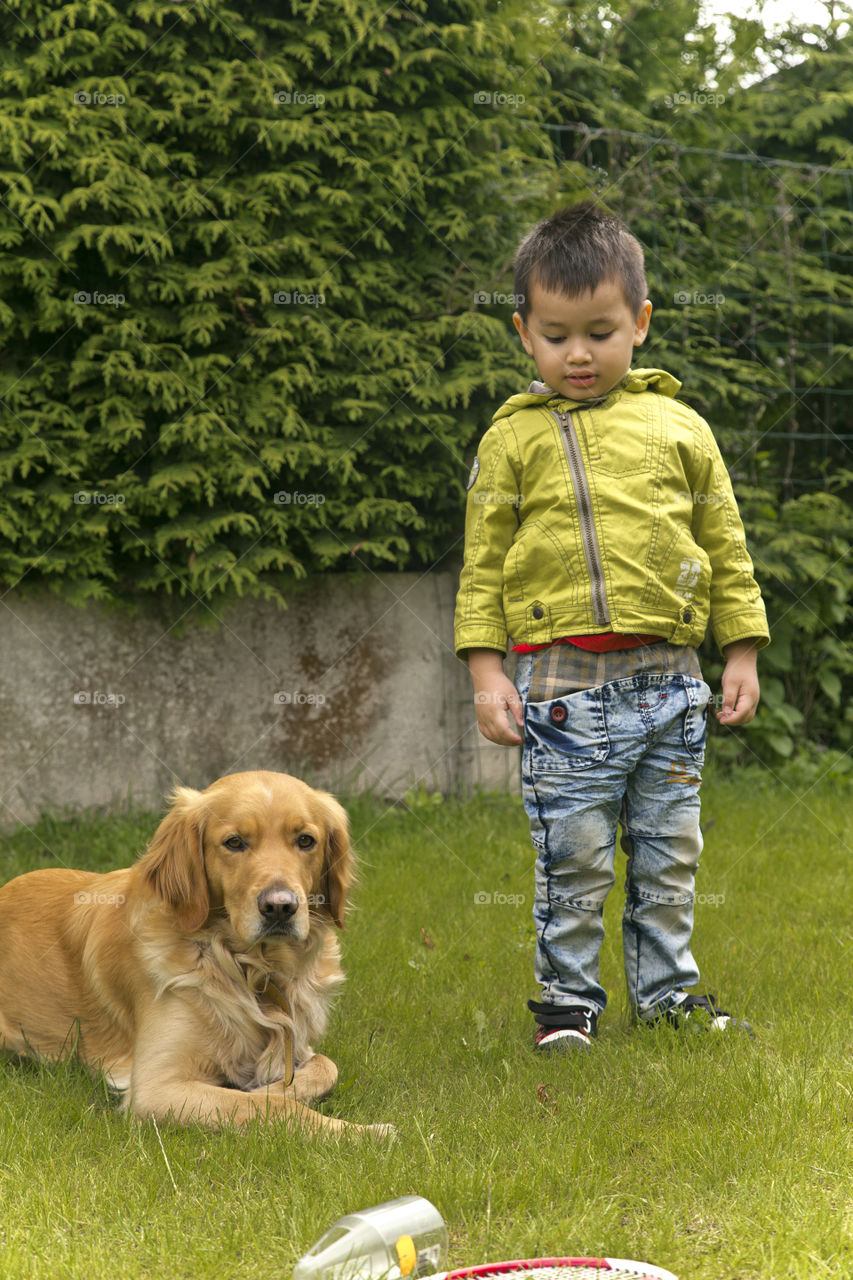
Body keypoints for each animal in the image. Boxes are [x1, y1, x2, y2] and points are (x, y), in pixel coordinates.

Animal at [0, 768, 386, 1141]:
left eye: (305, 840)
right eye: (234, 842)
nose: (280, 907)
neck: (251, 967)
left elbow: (325, 1066)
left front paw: (270, 1086)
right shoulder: (155, 1087)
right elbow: (268, 1107)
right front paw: (362, 1132)